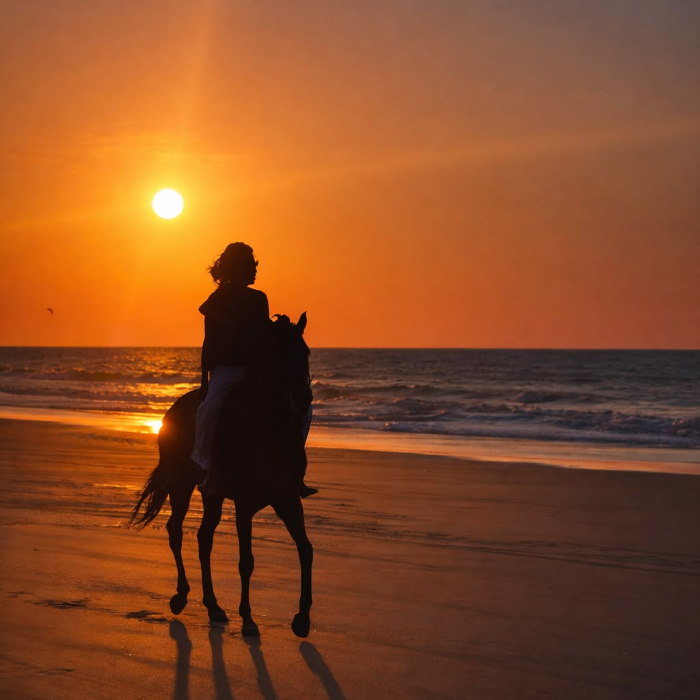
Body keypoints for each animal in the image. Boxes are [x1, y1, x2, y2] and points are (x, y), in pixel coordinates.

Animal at [129, 313, 314, 638]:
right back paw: (181, 596)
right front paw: (249, 620)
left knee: (204, 537)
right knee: (176, 530)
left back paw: (213, 606)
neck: (267, 430)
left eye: (305, 353)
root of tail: (170, 412)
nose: (304, 400)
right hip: (181, 484)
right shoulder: (244, 504)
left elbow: (305, 549)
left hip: (211, 494)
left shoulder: (287, 498)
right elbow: (246, 561)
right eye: (281, 354)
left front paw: (302, 618)